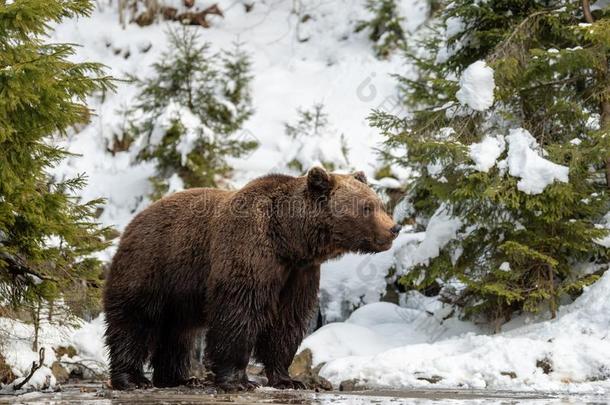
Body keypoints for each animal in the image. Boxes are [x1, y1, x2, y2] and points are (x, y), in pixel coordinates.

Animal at [102, 166, 402, 390]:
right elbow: (239, 312)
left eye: (379, 203)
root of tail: (134, 221)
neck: (288, 240)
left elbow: (287, 322)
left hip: (181, 291)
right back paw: (132, 379)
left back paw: (179, 378)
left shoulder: (299, 273)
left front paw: (288, 379)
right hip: (152, 266)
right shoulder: (249, 250)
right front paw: (239, 380)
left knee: (179, 333)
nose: (394, 228)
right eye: (367, 207)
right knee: (134, 322)